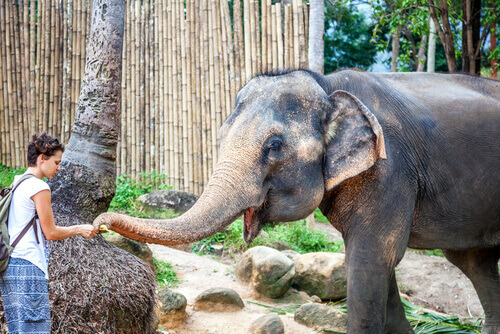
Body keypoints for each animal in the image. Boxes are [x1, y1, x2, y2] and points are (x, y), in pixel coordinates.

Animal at [94, 69, 500, 332]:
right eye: (221, 135)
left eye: (274, 146)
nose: (98, 224)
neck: (329, 87)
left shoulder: (390, 171)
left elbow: (372, 261)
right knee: (473, 262)